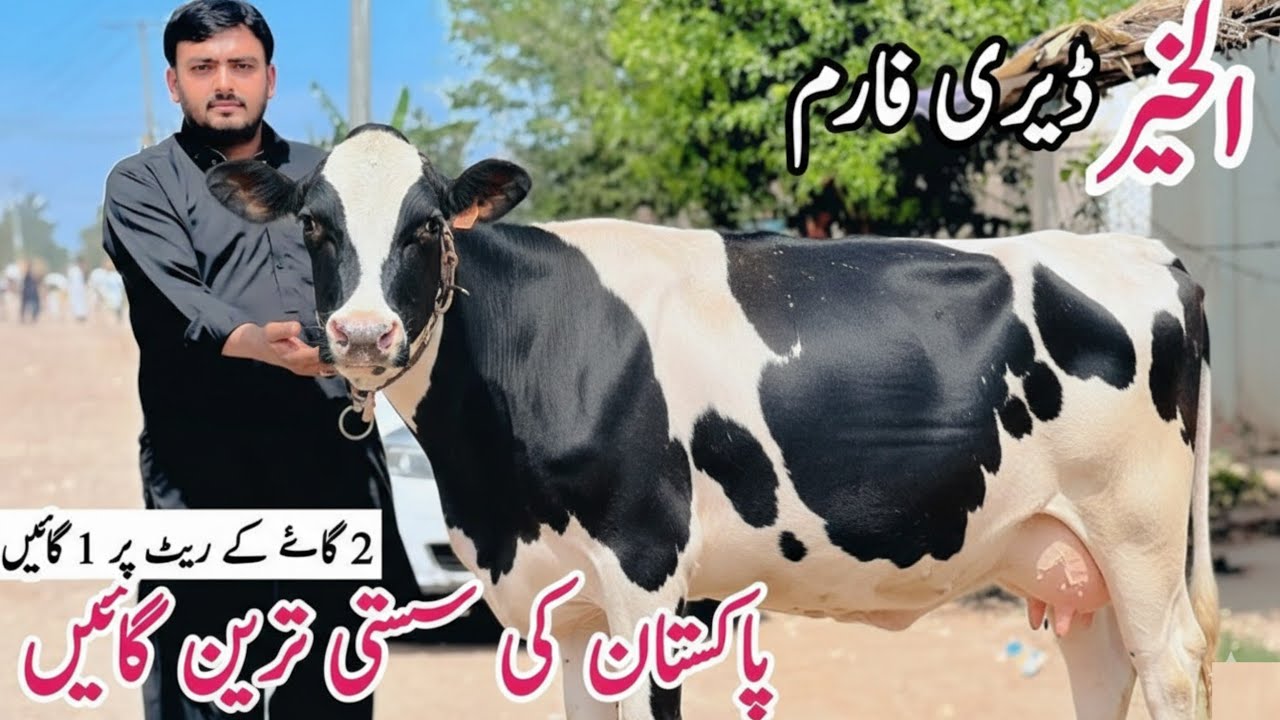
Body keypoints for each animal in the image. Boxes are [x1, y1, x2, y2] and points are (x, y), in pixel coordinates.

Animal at [206, 123, 1218, 720]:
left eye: (425, 227)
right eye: (314, 225)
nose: (361, 333)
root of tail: (1143, 251)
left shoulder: (646, 564)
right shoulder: (564, 597)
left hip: (1137, 533)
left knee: (1169, 668)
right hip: (1069, 553)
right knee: (1106, 671)